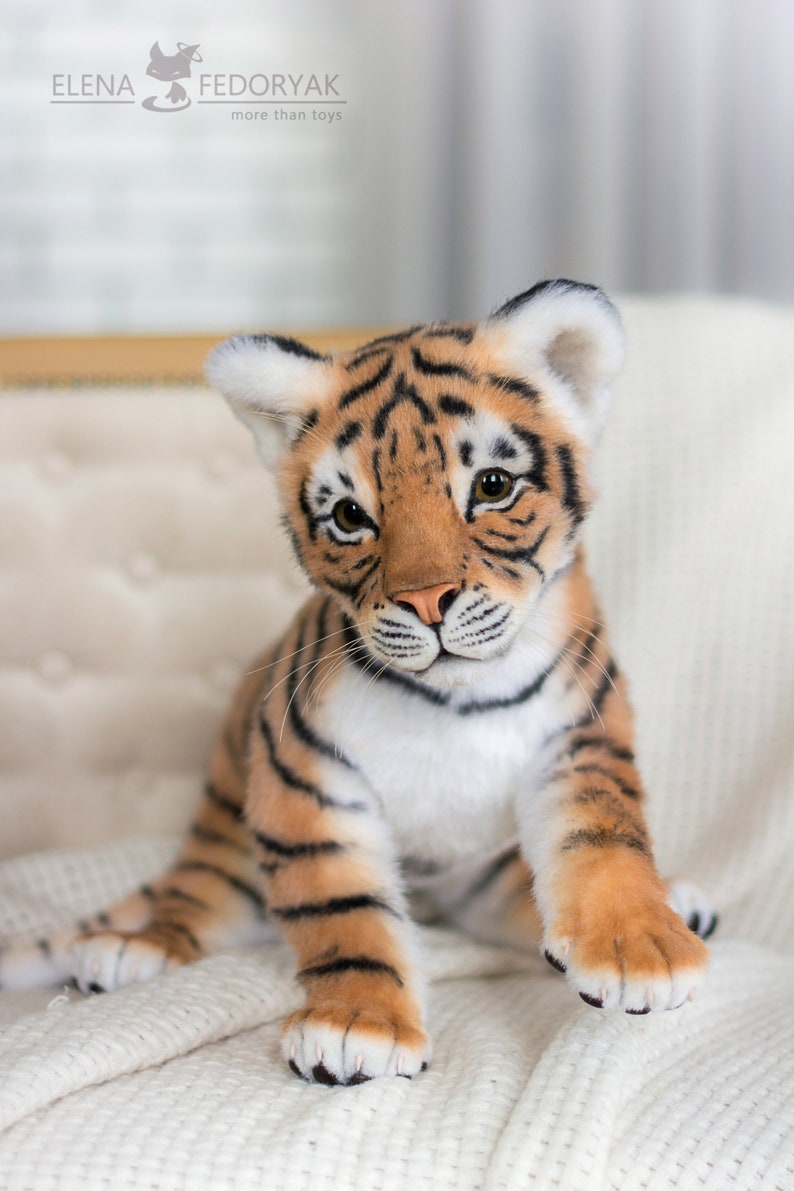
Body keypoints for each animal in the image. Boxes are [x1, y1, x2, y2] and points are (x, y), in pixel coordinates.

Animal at [0, 279, 717, 1086]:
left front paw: (639, 949)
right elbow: (343, 912)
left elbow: (603, 837)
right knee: (189, 900)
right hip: (226, 851)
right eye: (350, 516)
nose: (429, 602)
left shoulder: (580, 736)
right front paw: (355, 1027)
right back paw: (131, 949)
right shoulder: (306, 780)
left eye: (492, 486)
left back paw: (677, 902)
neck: (456, 701)